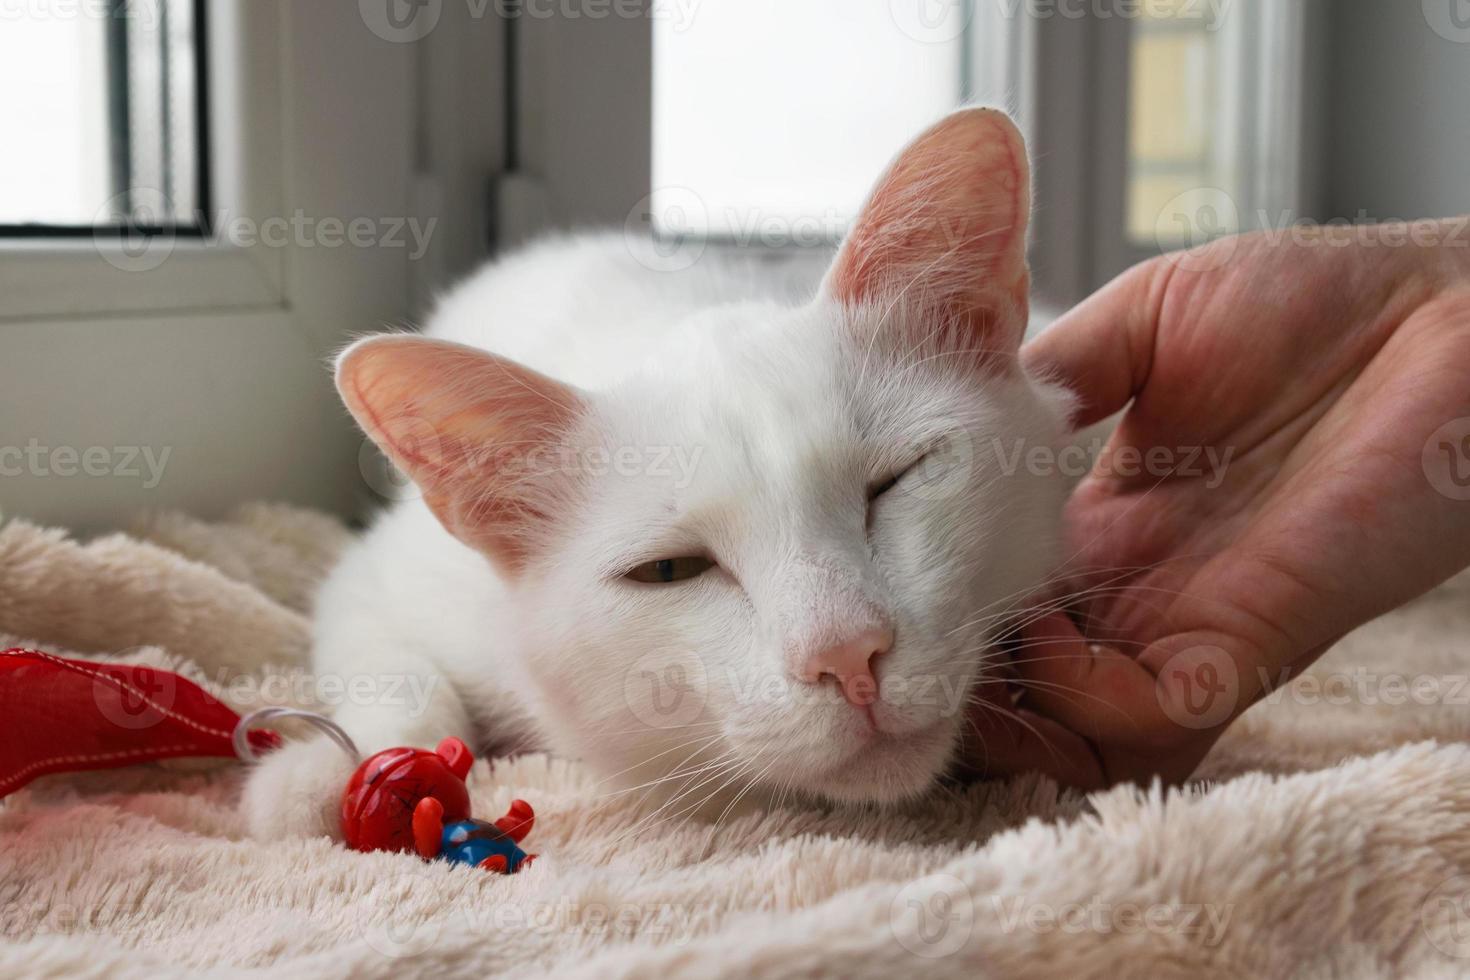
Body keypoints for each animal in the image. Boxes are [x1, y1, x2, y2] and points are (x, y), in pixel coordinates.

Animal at [238, 109, 1070, 846]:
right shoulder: (375, 580)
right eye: (669, 570)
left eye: (896, 481)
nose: (846, 654)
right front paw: (334, 773)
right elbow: (396, 678)